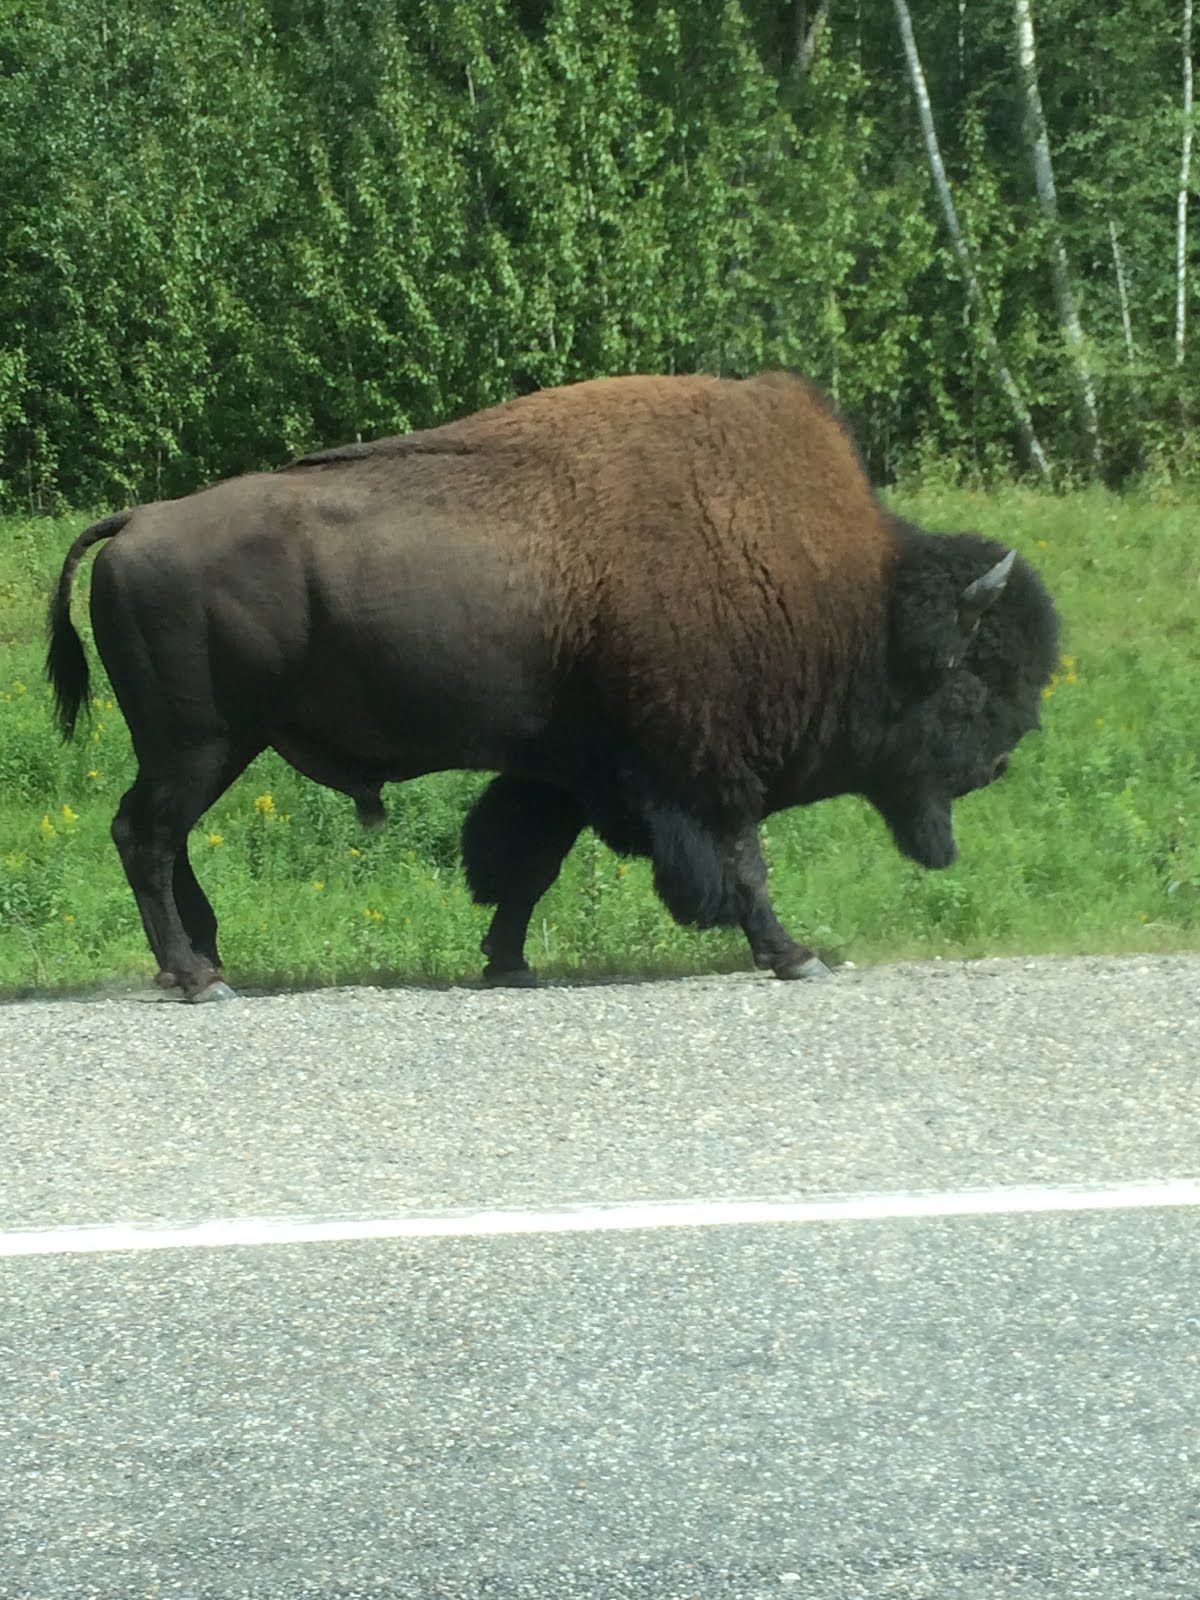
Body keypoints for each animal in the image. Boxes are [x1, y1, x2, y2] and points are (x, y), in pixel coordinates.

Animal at [47, 374, 1062, 998]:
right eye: (973, 677)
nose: (1001, 763)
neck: (843, 591)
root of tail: (137, 522)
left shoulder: (570, 771)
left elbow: (525, 864)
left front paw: (507, 963)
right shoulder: (703, 767)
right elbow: (743, 865)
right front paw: (793, 956)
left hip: (204, 748)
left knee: (163, 840)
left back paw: (205, 959)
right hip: (201, 743)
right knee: (145, 836)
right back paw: (196, 976)